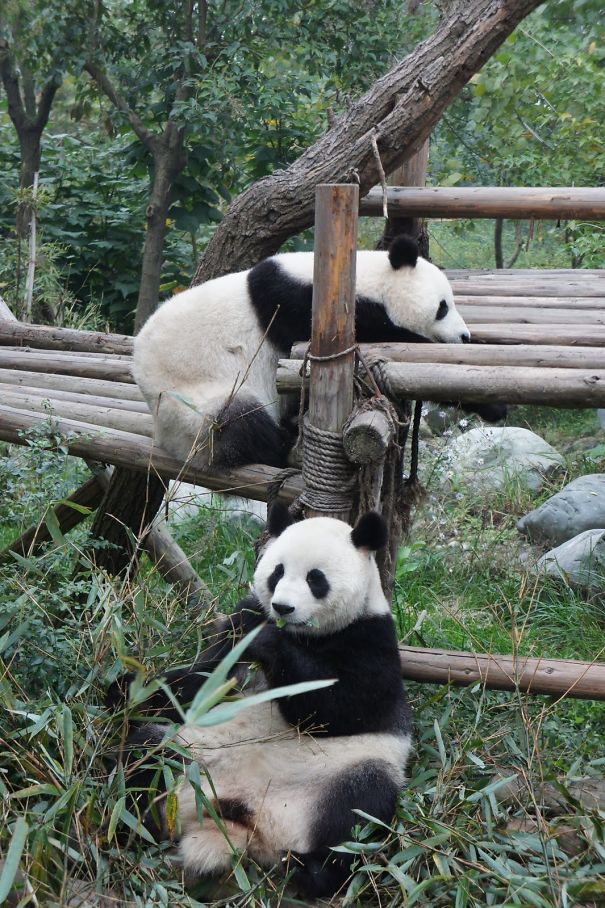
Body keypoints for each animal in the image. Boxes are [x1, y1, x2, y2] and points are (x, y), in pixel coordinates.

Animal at [111, 506, 412, 898]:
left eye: (316, 579)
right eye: (277, 571)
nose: (282, 607)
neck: (305, 636)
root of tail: (242, 823)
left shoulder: (372, 640)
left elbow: (342, 708)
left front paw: (269, 643)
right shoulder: (243, 616)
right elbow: (203, 679)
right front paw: (128, 689)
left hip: (340, 779)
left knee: (359, 811)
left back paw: (310, 871)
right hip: (190, 755)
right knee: (144, 756)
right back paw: (137, 820)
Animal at [133, 236, 471, 469]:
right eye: (443, 307)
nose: (465, 336)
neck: (364, 277)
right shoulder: (295, 303)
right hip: (190, 405)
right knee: (240, 422)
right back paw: (286, 445)